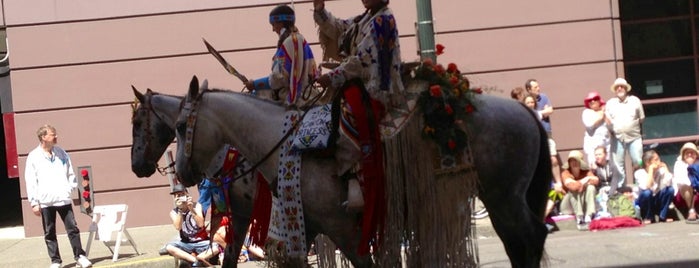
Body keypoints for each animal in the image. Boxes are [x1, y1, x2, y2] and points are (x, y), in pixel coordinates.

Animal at [174, 76, 552, 266]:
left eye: (179, 126)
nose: (182, 174)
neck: (284, 143)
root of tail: (522, 109)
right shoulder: (305, 229)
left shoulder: (344, 230)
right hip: (499, 198)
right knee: (519, 243)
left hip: (506, 197)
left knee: (530, 237)